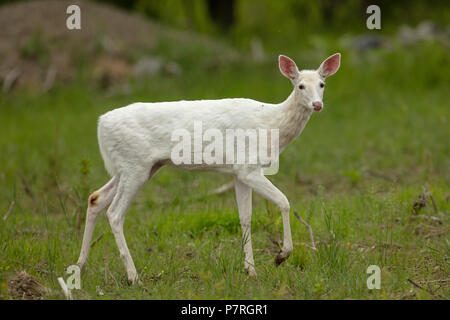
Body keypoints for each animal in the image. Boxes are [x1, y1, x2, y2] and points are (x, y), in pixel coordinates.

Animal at [75, 53, 342, 284]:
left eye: (322, 84)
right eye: (300, 86)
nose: (317, 104)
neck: (271, 126)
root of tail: (101, 124)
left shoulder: (238, 171)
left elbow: (245, 217)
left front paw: (250, 270)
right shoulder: (248, 166)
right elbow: (284, 201)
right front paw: (281, 256)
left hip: (138, 167)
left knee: (95, 198)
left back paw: (81, 267)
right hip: (135, 165)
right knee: (115, 213)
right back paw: (133, 277)